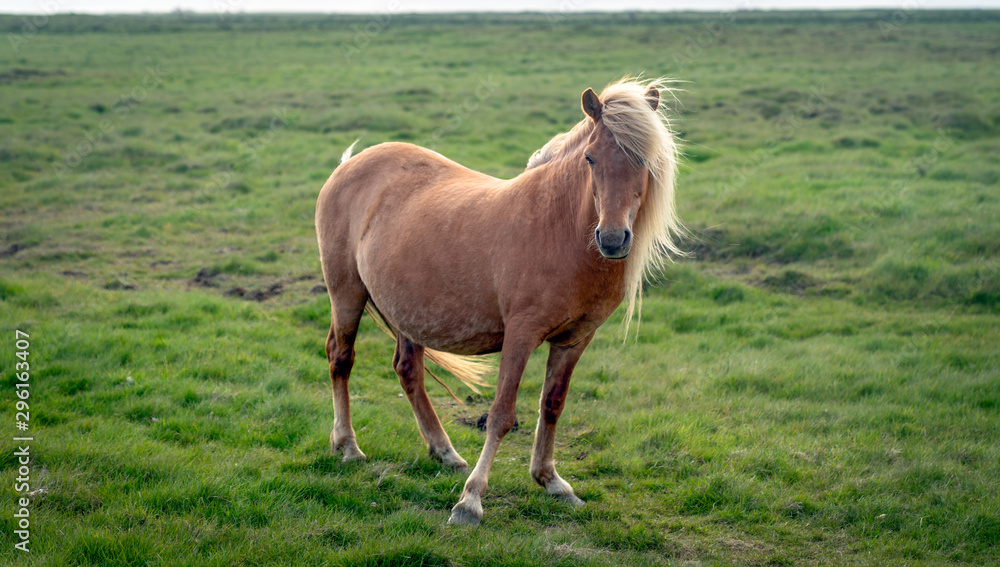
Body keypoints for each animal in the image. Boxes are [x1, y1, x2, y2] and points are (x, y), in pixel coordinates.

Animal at [315, 77, 683, 526]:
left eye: (647, 161)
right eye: (591, 158)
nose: (613, 239)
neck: (559, 227)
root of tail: (349, 165)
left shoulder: (574, 340)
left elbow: (552, 406)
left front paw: (551, 481)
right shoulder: (520, 335)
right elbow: (502, 415)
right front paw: (470, 501)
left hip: (407, 313)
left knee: (407, 371)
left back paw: (445, 452)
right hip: (347, 293)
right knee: (341, 358)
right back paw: (348, 446)